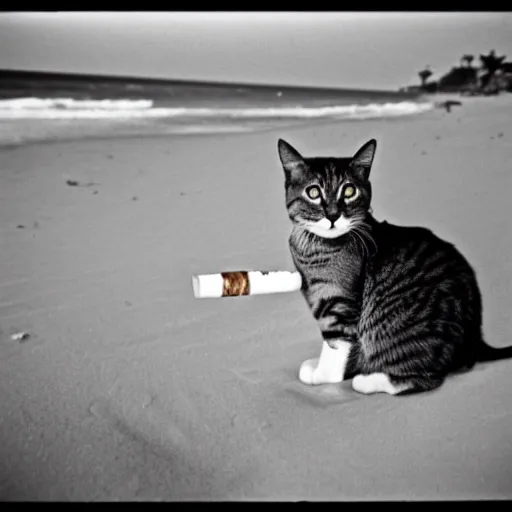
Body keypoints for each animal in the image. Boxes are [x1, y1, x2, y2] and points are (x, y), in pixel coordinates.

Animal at [278, 137, 512, 396]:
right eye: (313, 192)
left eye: (349, 191)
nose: (332, 215)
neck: (317, 248)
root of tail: (475, 339)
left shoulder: (341, 304)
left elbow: (336, 343)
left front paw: (325, 374)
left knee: (427, 378)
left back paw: (368, 380)